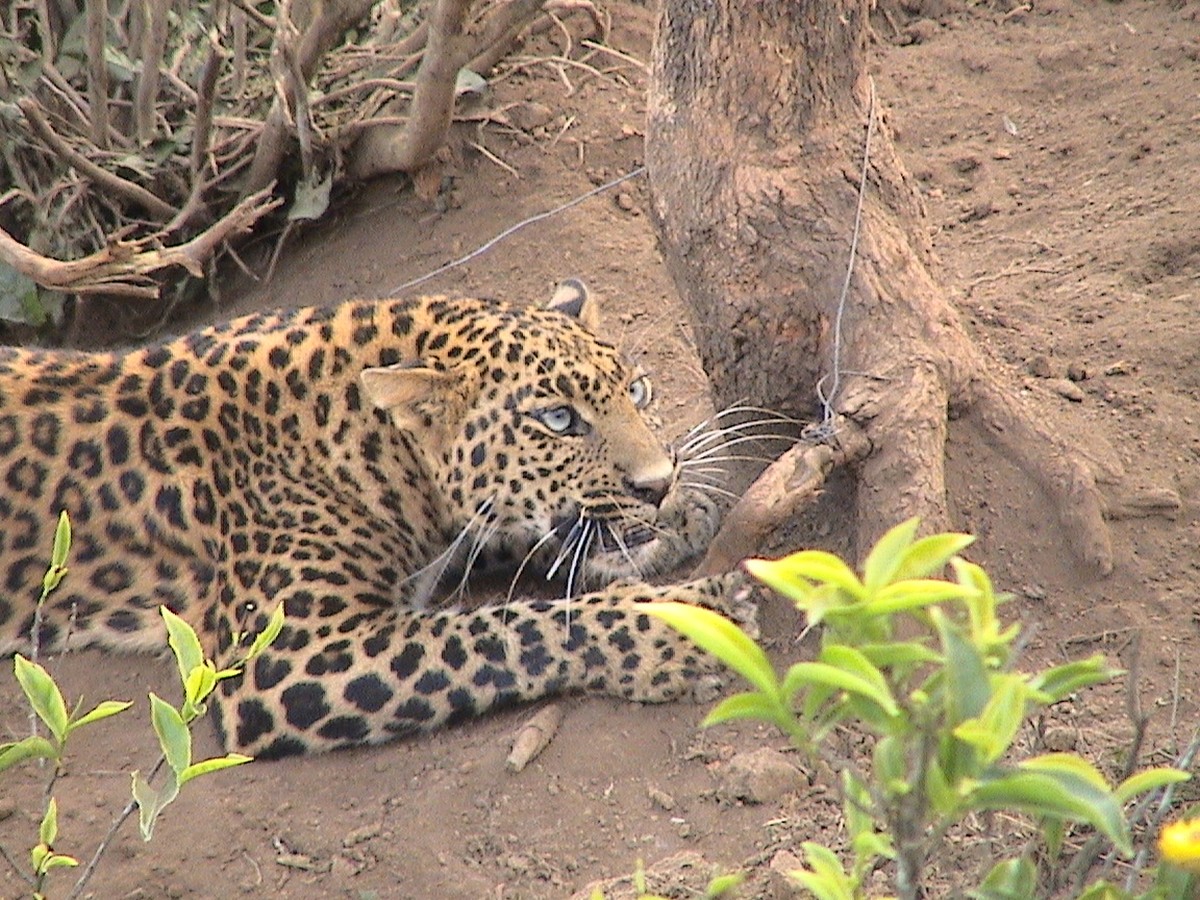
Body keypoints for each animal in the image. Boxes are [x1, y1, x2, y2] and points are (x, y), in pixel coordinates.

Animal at [0, 282, 753, 763]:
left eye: (637, 390)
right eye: (559, 420)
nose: (657, 485)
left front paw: (686, 509)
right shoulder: (282, 659)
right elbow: (508, 629)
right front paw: (686, 626)